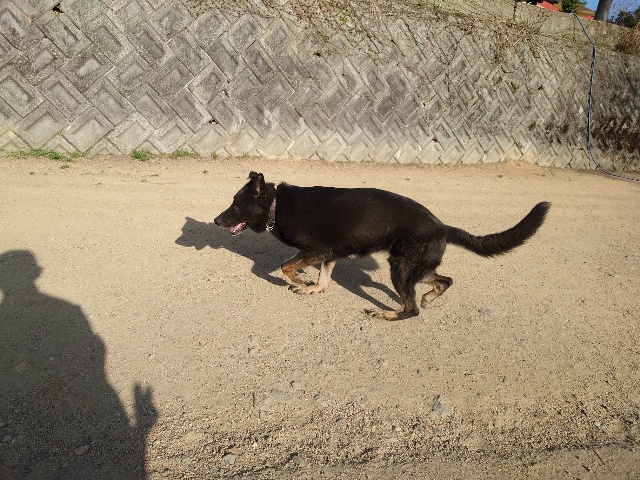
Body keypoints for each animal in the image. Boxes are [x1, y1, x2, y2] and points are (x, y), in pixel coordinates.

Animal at [214, 172, 550, 321]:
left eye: (236, 204)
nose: (216, 220)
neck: (276, 205)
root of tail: (442, 226)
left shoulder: (318, 251)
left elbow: (286, 266)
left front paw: (300, 280)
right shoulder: (330, 254)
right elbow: (323, 279)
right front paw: (313, 288)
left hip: (400, 268)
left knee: (411, 310)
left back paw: (388, 314)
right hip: (413, 266)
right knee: (444, 281)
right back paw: (429, 296)